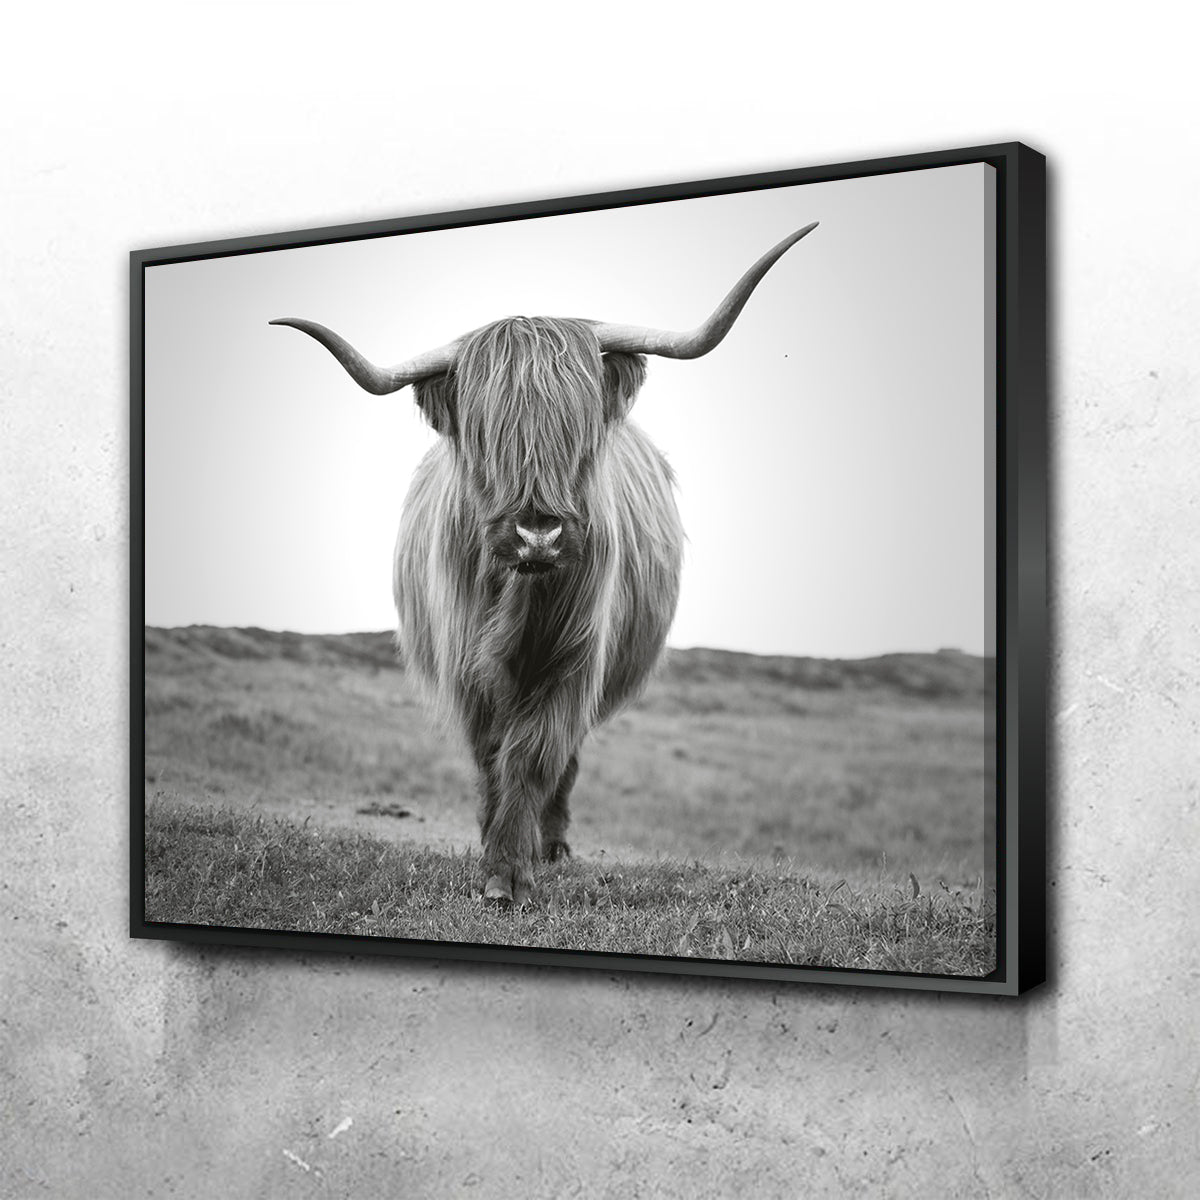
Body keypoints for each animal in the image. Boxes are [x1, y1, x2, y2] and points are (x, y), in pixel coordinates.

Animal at [271, 221, 818, 905]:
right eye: (484, 435)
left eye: (578, 430)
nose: (538, 535)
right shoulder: (466, 665)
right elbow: (491, 755)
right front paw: (493, 853)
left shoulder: (574, 660)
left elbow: (534, 755)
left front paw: (512, 868)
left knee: (566, 759)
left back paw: (550, 843)